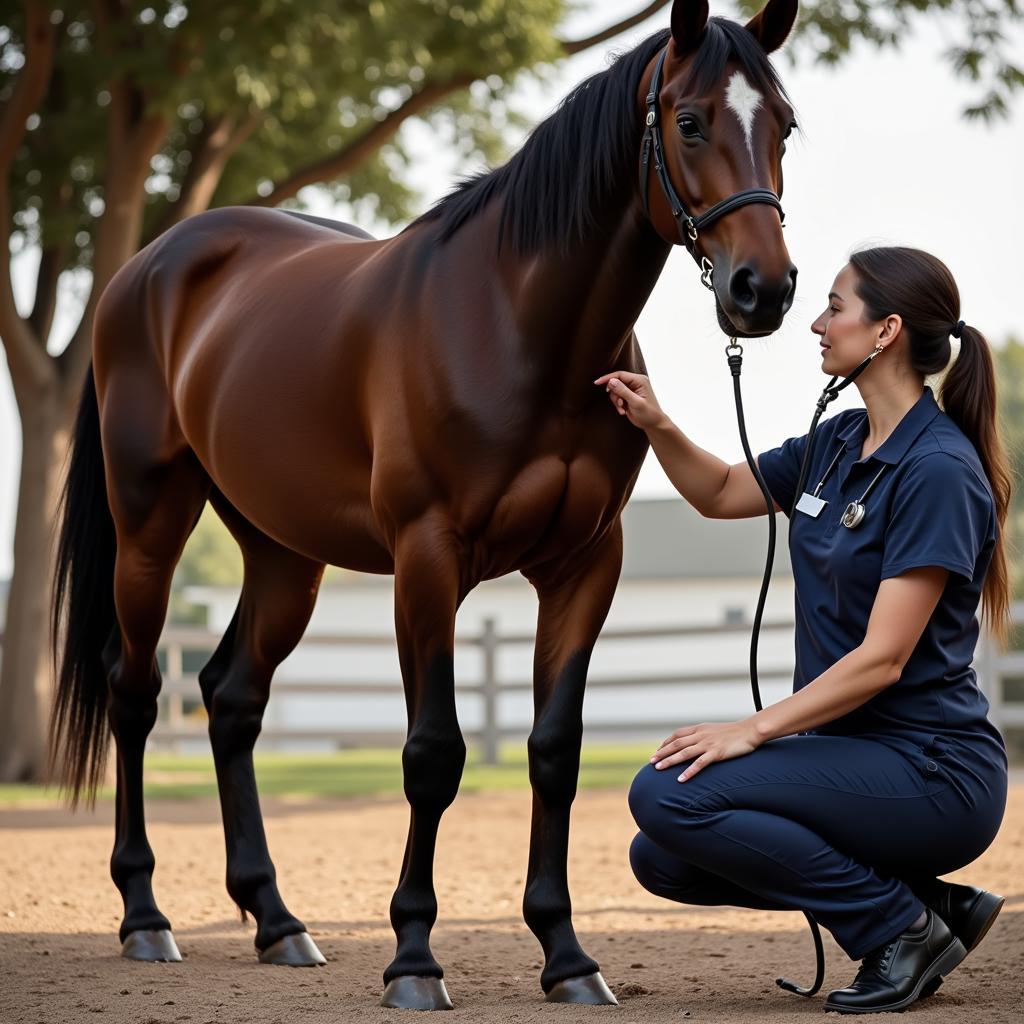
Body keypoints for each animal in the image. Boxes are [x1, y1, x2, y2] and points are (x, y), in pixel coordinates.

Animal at [49, 0, 798, 1007]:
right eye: (688, 122)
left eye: (784, 125)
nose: (767, 291)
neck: (519, 328)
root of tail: (145, 270)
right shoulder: (427, 559)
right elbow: (432, 753)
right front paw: (412, 959)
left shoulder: (585, 566)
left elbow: (554, 751)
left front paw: (568, 957)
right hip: (149, 529)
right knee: (135, 693)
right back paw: (145, 917)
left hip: (285, 553)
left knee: (232, 698)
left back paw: (279, 922)